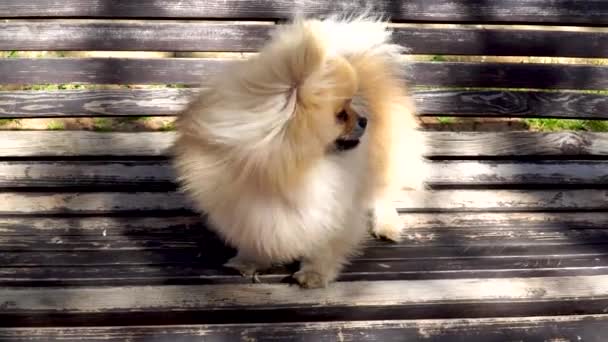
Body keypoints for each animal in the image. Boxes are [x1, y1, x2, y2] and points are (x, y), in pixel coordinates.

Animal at [173, 13, 426, 288]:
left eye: (352, 105)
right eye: (341, 115)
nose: (364, 120)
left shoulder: (329, 209)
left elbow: (324, 246)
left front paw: (314, 274)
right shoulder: (249, 209)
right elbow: (256, 238)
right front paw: (249, 262)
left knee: (382, 194)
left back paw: (387, 225)